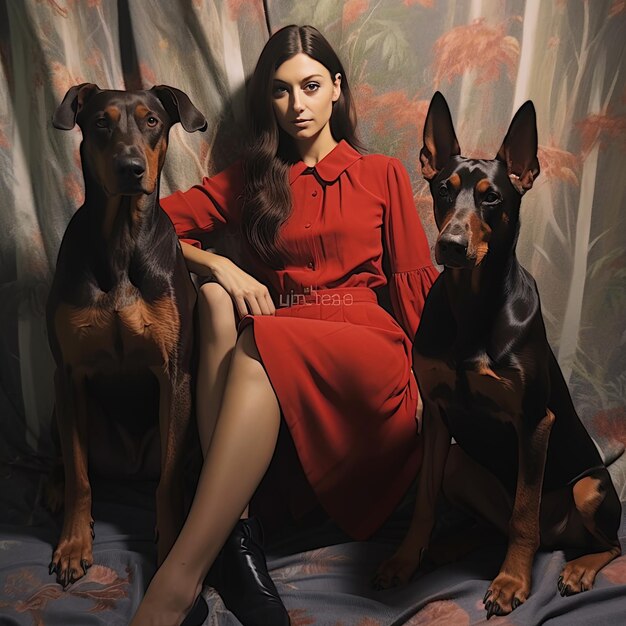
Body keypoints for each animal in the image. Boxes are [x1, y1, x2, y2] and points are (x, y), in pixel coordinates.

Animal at [48, 85, 207, 588]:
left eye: (151, 120)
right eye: (101, 122)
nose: (130, 168)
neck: (121, 237)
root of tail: (131, 468)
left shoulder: (175, 373)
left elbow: (168, 481)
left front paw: (172, 545)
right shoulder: (68, 374)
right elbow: (80, 476)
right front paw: (73, 545)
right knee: (66, 465)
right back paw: (55, 490)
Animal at [372, 91, 616, 616]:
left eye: (492, 197)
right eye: (443, 190)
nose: (451, 246)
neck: (472, 304)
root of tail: (559, 539)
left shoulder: (535, 422)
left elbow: (525, 515)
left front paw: (510, 582)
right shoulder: (437, 413)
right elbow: (424, 502)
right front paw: (404, 558)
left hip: (589, 487)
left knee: (604, 542)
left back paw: (578, 568)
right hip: (461, 466)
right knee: (493, 525)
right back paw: (446, 547)